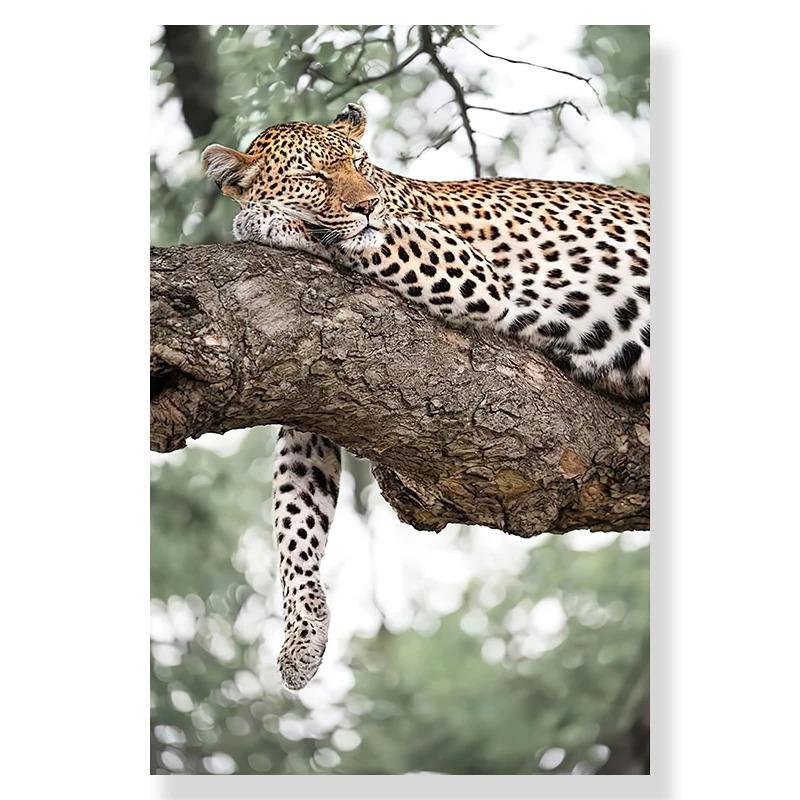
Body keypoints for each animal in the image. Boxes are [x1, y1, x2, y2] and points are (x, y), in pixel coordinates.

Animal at [202, 102, 650, 690]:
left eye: (359, 165)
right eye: (312, 176)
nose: (366, 205)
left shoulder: (468, 269)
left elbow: (347, 237)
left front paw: (264, 220)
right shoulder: (311, 397)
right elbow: (295, 519)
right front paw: (302, 635)